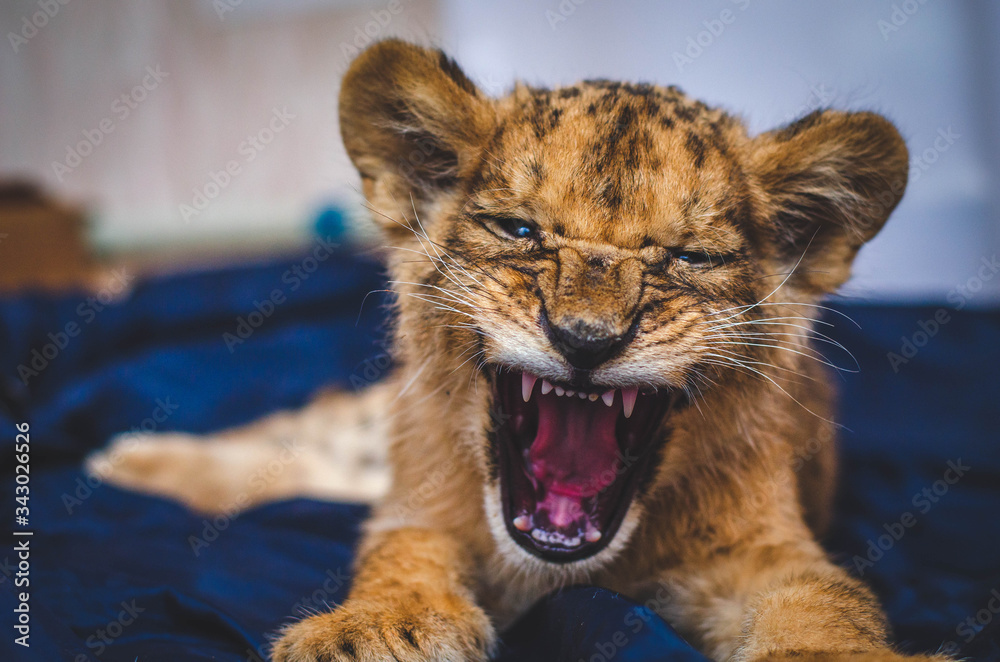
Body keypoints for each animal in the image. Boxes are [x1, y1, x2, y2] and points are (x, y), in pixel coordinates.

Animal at [91, 39, 947, 662]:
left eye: (686, 258)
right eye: (521, 230)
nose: (585, 340)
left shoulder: (766, 551)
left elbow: (825, 606)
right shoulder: (422, 502)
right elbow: (399, 558)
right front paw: (367, 633)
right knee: (296, 445)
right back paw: (131, 460)